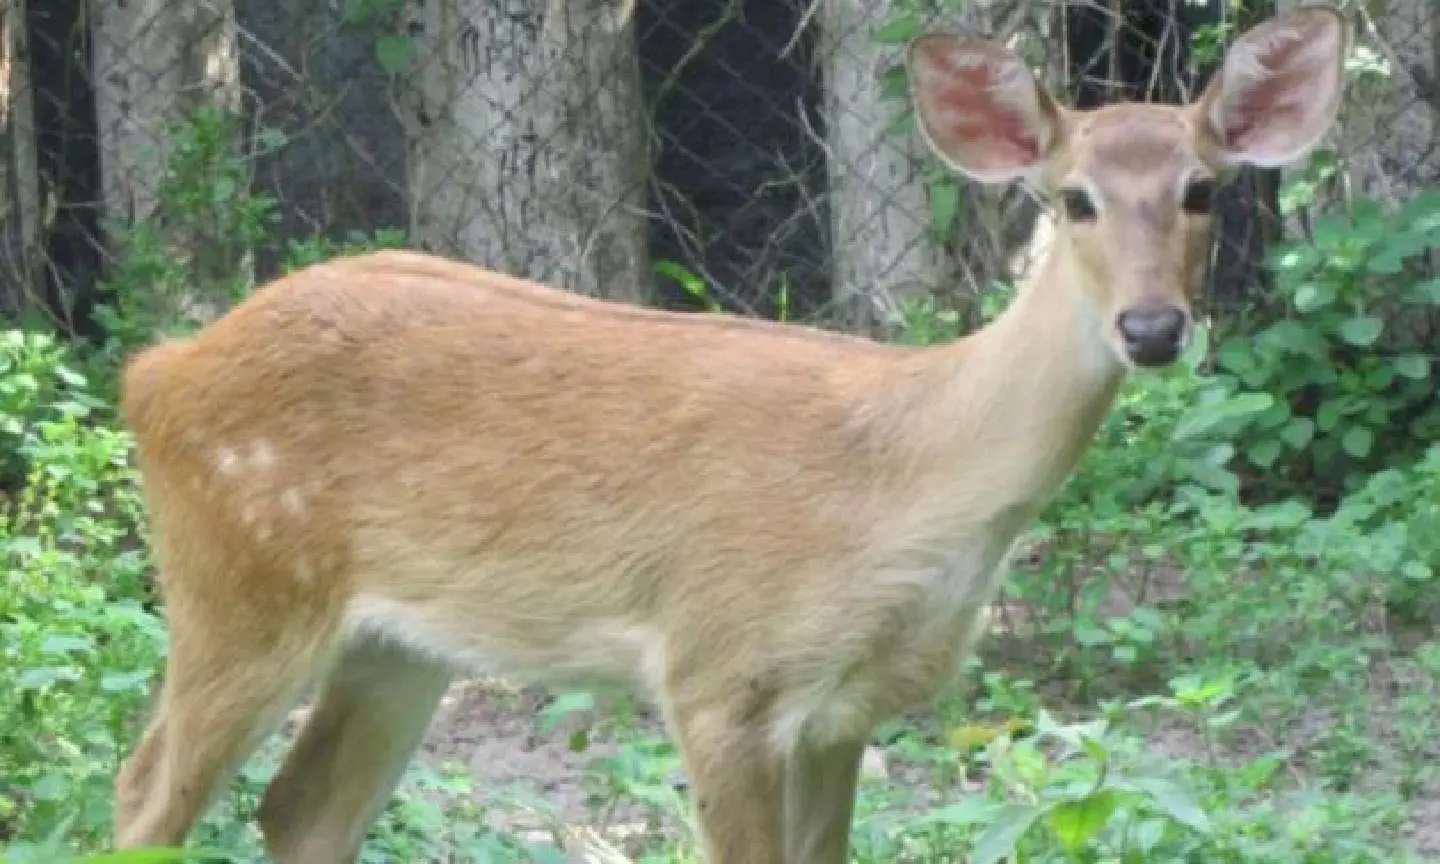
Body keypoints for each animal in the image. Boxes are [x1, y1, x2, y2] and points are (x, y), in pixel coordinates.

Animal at [111, 7, 1345, 863]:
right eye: (1074, 198)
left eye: (1203, 190)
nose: (1153, 327)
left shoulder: (845, 709)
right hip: (239, 580)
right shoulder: (718, 671)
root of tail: (156, 373)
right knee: (145, 794)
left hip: (399, 641)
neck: (904, 483)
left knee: (300, 809)